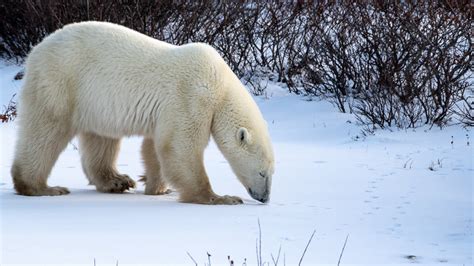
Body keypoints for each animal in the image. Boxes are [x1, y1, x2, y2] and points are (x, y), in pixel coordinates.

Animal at [11, 21, 274, 204]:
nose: (264, 198)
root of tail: (36, 50)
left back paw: (116, 180)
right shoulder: (192, 96)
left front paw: (157, 187)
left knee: (101, 140)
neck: (221, 86)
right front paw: (221, 198)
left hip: (95, 101)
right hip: (60, 83)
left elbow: (155, 147)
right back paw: (42, 187)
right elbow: (180, 146)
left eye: (272, 172)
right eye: (262, 173)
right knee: (46, 133)